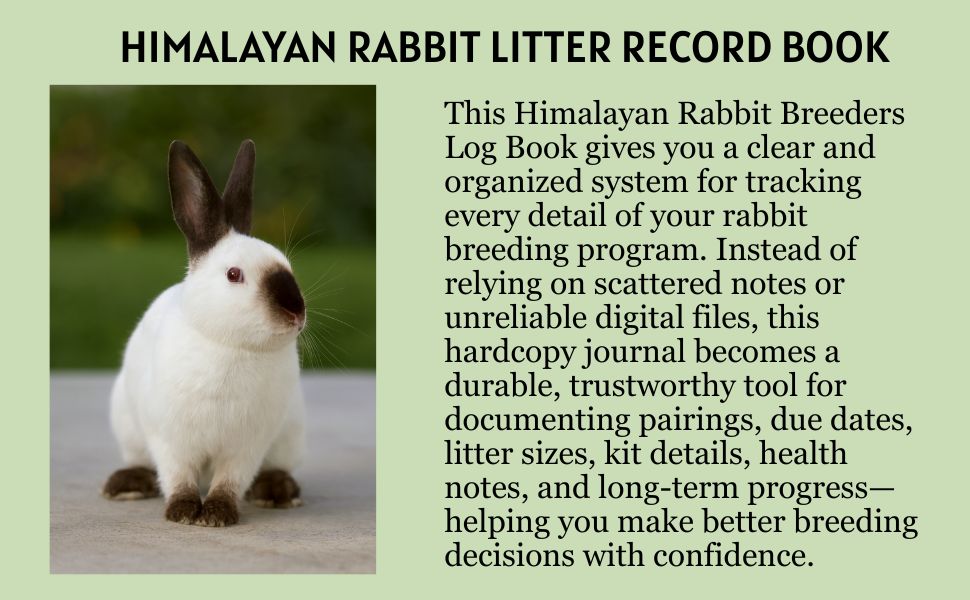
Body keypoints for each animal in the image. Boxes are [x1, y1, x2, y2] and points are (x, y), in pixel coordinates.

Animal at [101, 140, 307, 527]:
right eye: (233, 275)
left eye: (288, 266)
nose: (296, 313)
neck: (231, 346)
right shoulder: (170, 440)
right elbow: (177, 476)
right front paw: (183, 512)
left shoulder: (246, 446)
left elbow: (230, 481)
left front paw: (216, 515)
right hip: (128, 425)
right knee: (141, 462)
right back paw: (124, 485)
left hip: (289, 434)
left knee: (274, 468)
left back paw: (277, 492)